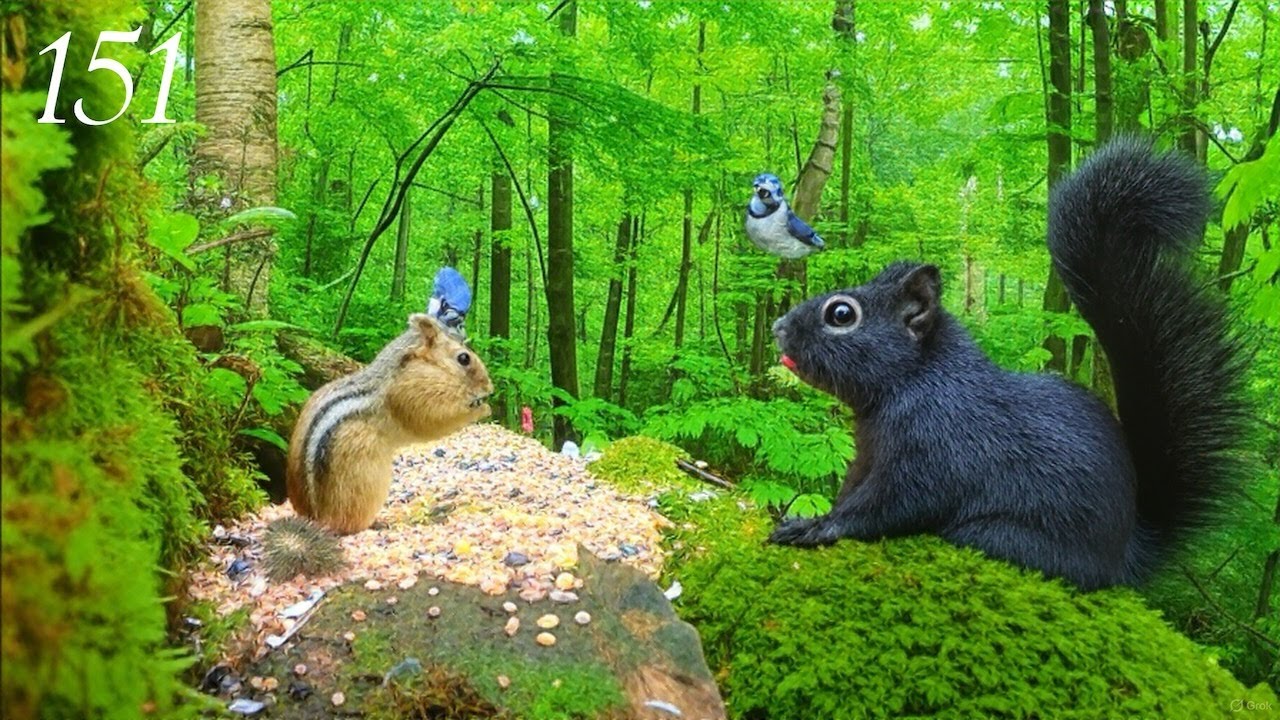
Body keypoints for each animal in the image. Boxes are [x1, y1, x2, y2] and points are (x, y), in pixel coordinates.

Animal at [285, 312, 493, 535]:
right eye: (464, 358)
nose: (490, 387)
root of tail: (315, 520)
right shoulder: (418, 396)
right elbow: (438, 420)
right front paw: (483, 408)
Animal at [768, 137, 1248, 590]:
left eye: (841, 314)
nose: (777, 327)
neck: (915, 381)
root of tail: (1125, 555)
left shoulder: (933, 449)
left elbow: (887, 506)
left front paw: (816, 527)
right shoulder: (868, 453)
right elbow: (853, 489)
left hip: (1010, 537)